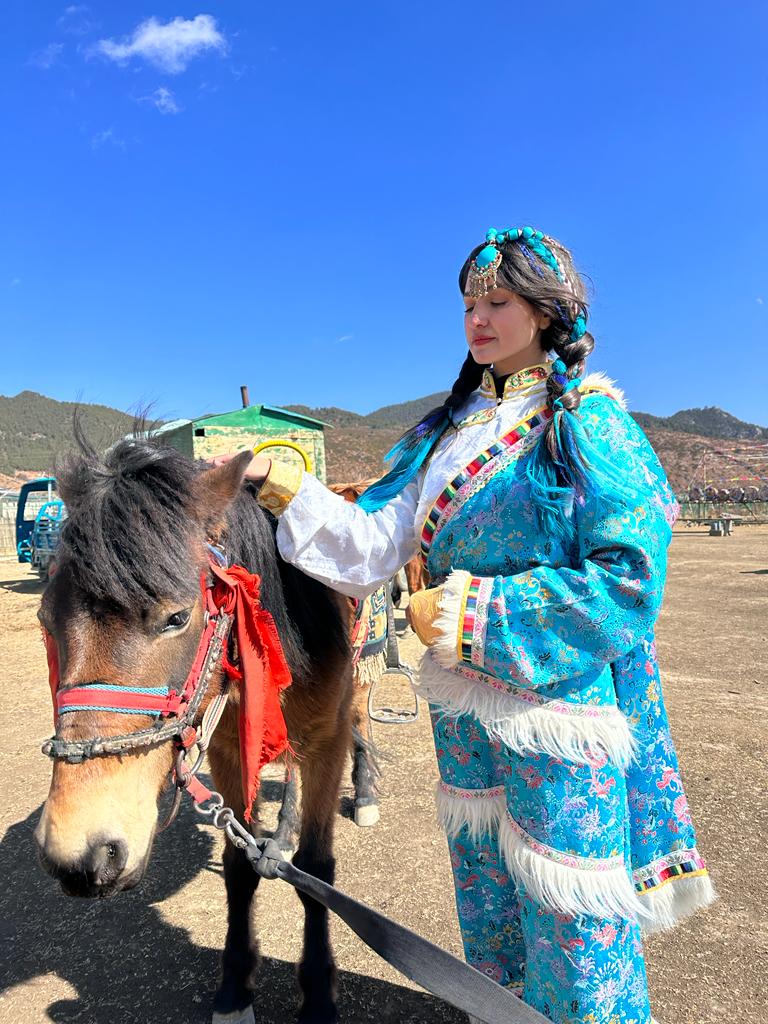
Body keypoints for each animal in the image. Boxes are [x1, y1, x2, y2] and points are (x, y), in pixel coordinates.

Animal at [33, 438, 352, 1024]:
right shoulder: (228, 748)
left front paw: (318, 995)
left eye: (178, 617)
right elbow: (240, 866)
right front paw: (235, 987)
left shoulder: (327, 742)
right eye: (47, 620)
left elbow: (316, 873)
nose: (79, 855)